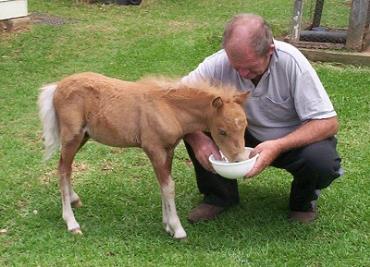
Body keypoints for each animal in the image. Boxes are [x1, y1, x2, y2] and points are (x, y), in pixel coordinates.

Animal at [37, 72, 249, 240]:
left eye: (245, 126)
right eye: (222, 131)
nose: (239, 159)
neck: (169, 108)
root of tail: (57, 86)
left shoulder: (168, 150)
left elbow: (165, 185)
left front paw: (167, 226)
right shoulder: (154, 149)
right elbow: (168, 187)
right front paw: (178, 230)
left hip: (83, 137)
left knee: (66, 168)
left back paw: (74, 200)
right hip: (72, 137)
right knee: (63, 170)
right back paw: (72, 224)